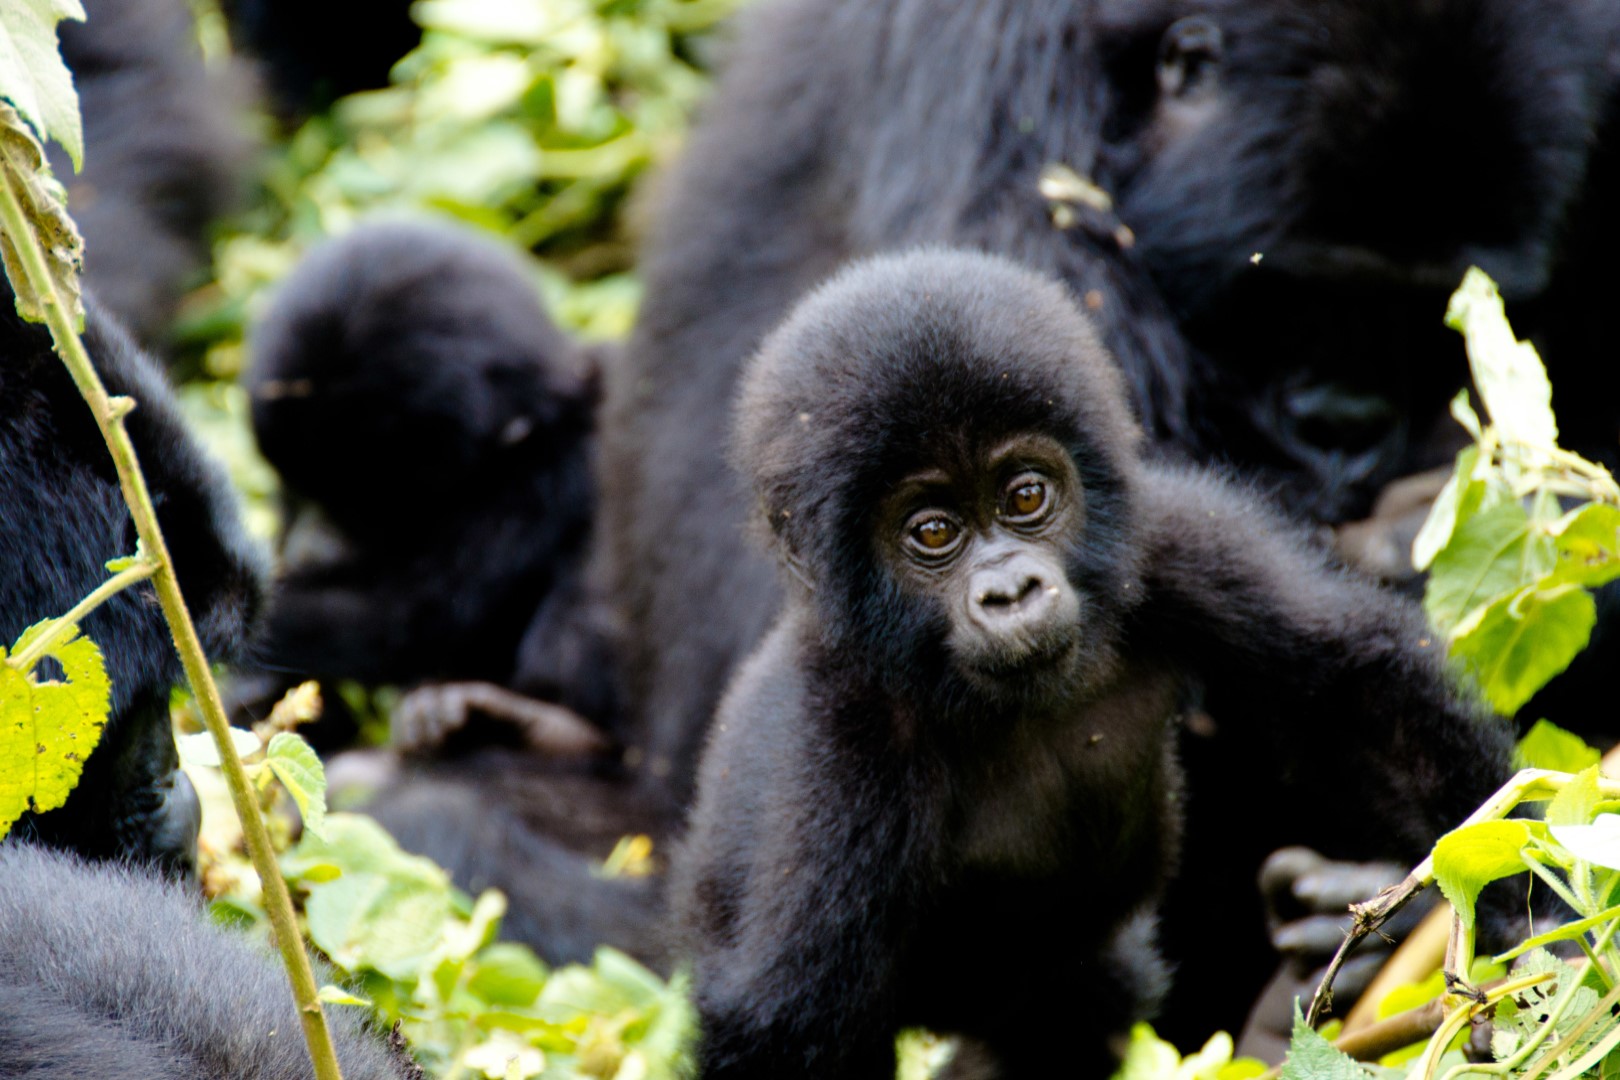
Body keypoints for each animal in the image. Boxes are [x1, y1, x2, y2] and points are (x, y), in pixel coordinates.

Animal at [670, 249, 1503, 1075]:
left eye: (1025, 496)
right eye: (933, 532)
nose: (1011, 591)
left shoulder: (1172, 540)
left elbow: (1350, 697)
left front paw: (1513, 914)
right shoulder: (839, 745)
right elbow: (789, 1028)